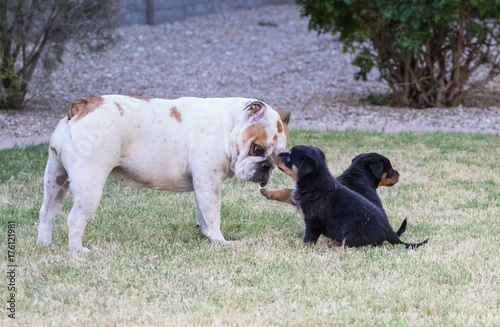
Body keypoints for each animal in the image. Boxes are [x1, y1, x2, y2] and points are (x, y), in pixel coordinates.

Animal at [36, 96, 290, 252]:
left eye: (278, 159)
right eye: (257, 149)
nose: (265, 168)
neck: (228, 126)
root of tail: (82, 106)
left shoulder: (201, 186)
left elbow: (202, 212)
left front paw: (204, 233)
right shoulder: (209, 184)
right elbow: (213, 214)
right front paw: (218, 240)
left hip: (55, 179)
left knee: (47, 213)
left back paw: (45, 244)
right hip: (89, 187)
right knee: (75, 219)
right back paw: (77, 251)